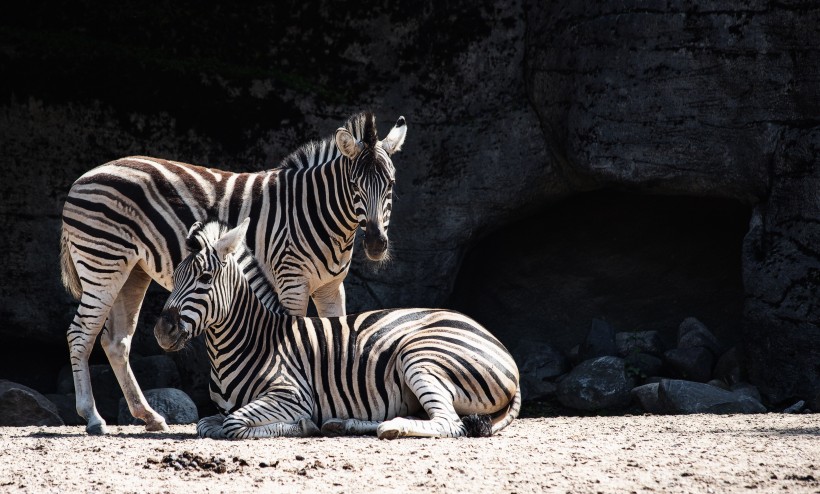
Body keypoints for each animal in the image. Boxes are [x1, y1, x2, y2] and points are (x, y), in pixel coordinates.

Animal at [58, 111, 406, 432]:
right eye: (354, 185)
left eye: (390, 185)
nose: (376, 243)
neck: (318, 213)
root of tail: (83, 179)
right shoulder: (291, 279)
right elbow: (297, 335)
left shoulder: (331, 286)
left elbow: (336, 332)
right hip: (103, 263)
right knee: (80, 334)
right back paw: (93, 417)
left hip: (132, 272)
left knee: (116, 341)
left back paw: (149, 416)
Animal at [154, 218, 520, 438]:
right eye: (174, 278)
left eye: (205, 278)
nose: (161, 332)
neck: (250, 342)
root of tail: (503, 350)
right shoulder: (217, 412)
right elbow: (205, 424)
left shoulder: (293, 394)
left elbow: (233, 424)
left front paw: (301, 425)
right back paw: (345, 423)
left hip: (420, 357)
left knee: (449, 423)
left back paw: (393, 427)